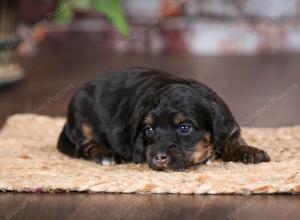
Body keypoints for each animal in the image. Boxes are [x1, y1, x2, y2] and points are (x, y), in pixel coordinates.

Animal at [57, 68, 270, 171]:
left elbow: (233, 140)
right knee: (85, 144)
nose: (159, 158)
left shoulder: (228, 127)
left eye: (184, 128)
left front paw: (251, 152)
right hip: (81, 110)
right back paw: (105, 155)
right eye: (149, 130)